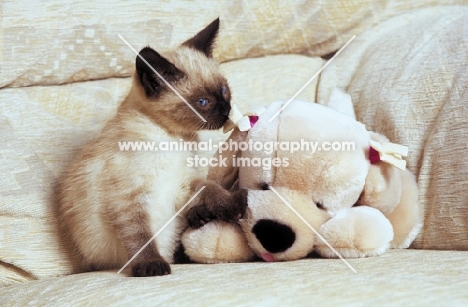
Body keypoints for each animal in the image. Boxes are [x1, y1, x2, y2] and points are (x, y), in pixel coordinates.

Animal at [57, 19, 247, 280]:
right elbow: (141, 238)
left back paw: (200, 217)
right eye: (202, 102)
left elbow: (212, 189)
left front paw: (232, 205)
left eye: (223, 91)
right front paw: (151, 266)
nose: (225, 109)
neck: (176, 138)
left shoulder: (183, 181)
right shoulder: (129, 199)